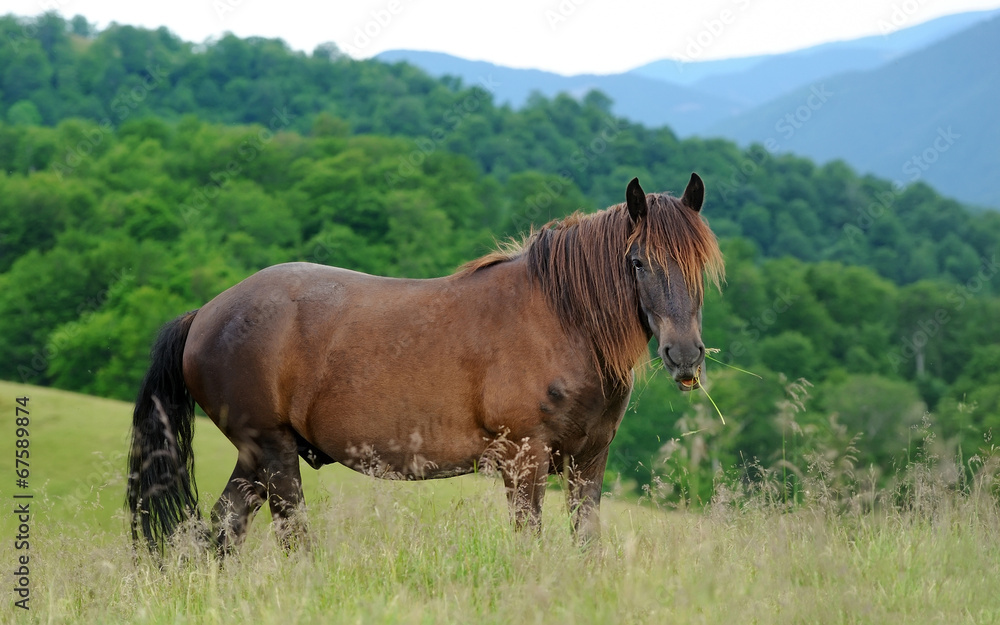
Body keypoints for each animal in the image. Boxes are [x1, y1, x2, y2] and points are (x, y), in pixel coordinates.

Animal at [129, 173, 724, 552]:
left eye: (701, 264)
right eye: (638, 261)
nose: (684, 355)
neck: (560, 320)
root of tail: (204, 314)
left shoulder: (588, 463)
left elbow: (585, 544)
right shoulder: (524, 462)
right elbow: (530, 545)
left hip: (257, 460)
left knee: (219, 536)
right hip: (273, 454)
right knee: (289, 539)